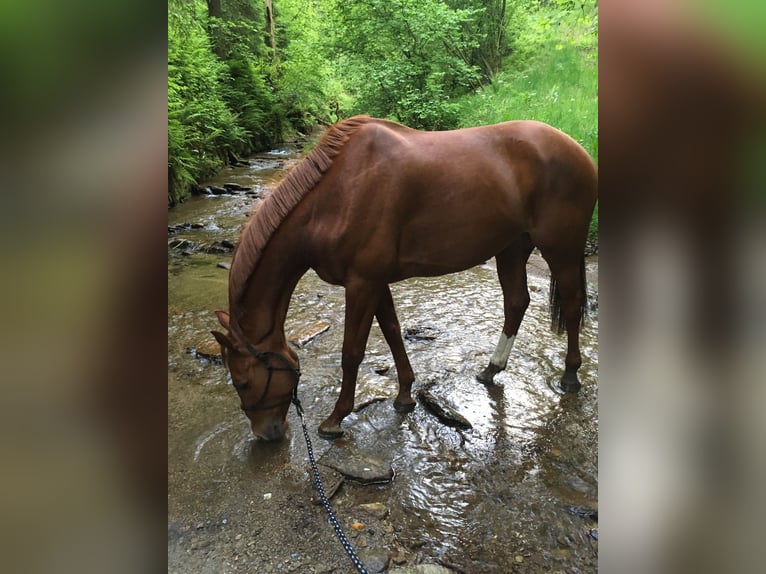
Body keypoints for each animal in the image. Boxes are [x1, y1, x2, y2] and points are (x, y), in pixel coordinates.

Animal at [212, 115, 597, 441]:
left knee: (573, 304)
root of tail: (578, 150)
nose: (267, 433)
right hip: (512, 248)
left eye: (243, 382)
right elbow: (394, 333)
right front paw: (404, 394)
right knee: (517, 302)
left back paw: (570, 375)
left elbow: (352, 351)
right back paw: (491, 368)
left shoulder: (362, 283)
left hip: (561, 248)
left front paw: (336, 418)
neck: (335, 199)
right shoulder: (375, 282)